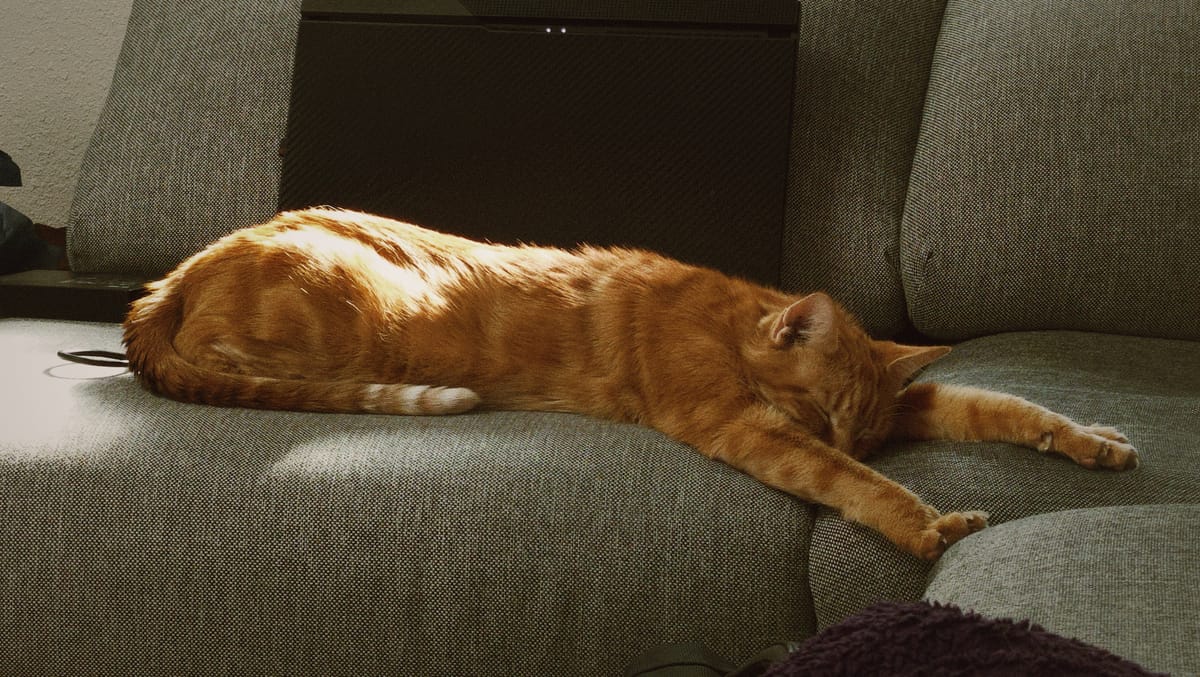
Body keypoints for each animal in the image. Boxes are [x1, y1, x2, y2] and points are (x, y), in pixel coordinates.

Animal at [126, 208, 1137, 556]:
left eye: (866, 426)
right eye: (817, 413)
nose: (843, 437)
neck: (728, 316)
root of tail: (178, 271)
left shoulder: (917, 407)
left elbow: (1001, 404)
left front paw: (1091, 438)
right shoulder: (740, 422)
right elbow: (852, 487)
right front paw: (927, 526)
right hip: (353, 310)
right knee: (223, 359)